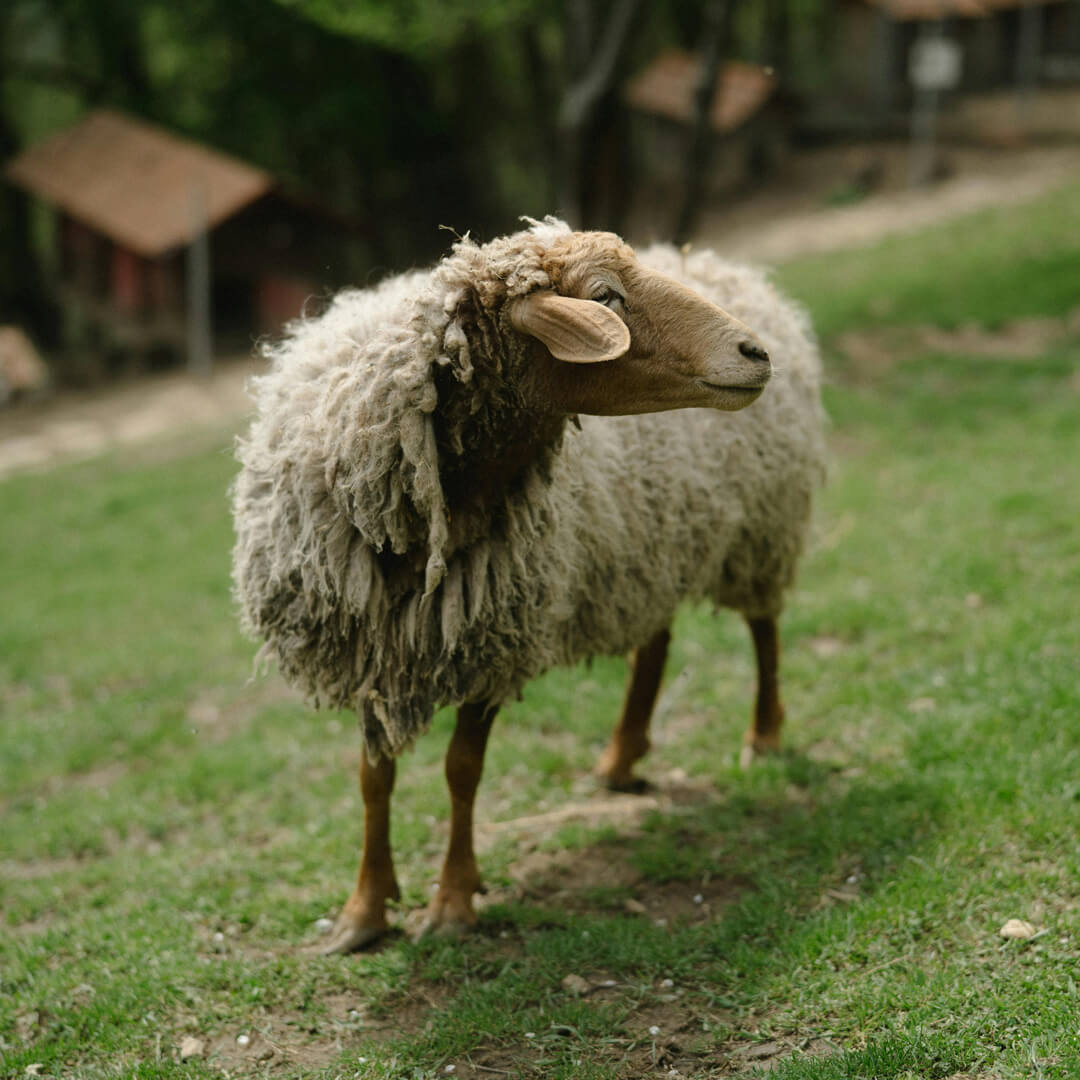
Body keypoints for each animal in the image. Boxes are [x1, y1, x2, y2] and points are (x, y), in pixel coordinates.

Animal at [232, 214, 820, 950]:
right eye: (606, 297)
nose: (754, 352)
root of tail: (727, 266)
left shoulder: (493, 637)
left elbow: (462, 770)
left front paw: (453, 900)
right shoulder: (371, 645)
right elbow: (374, 776)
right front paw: (363, 910)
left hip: (761, 527)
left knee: (764, 627)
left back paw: (763, 736)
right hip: (650, 547)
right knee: (656, 641)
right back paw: (621, 758)